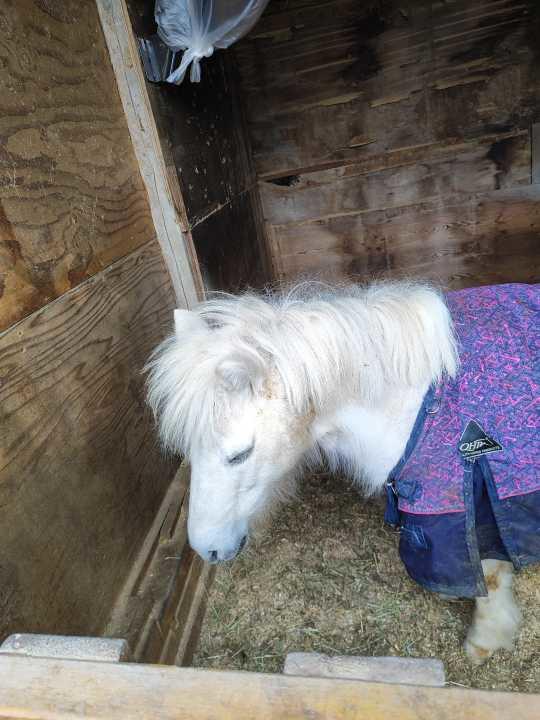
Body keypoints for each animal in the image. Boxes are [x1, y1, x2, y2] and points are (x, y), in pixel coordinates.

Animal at [145, 280, 539, 664]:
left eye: (239, 455)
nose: (206, 549)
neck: (420, 405)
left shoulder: (470, 499)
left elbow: (490, 572)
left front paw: (484, 641)